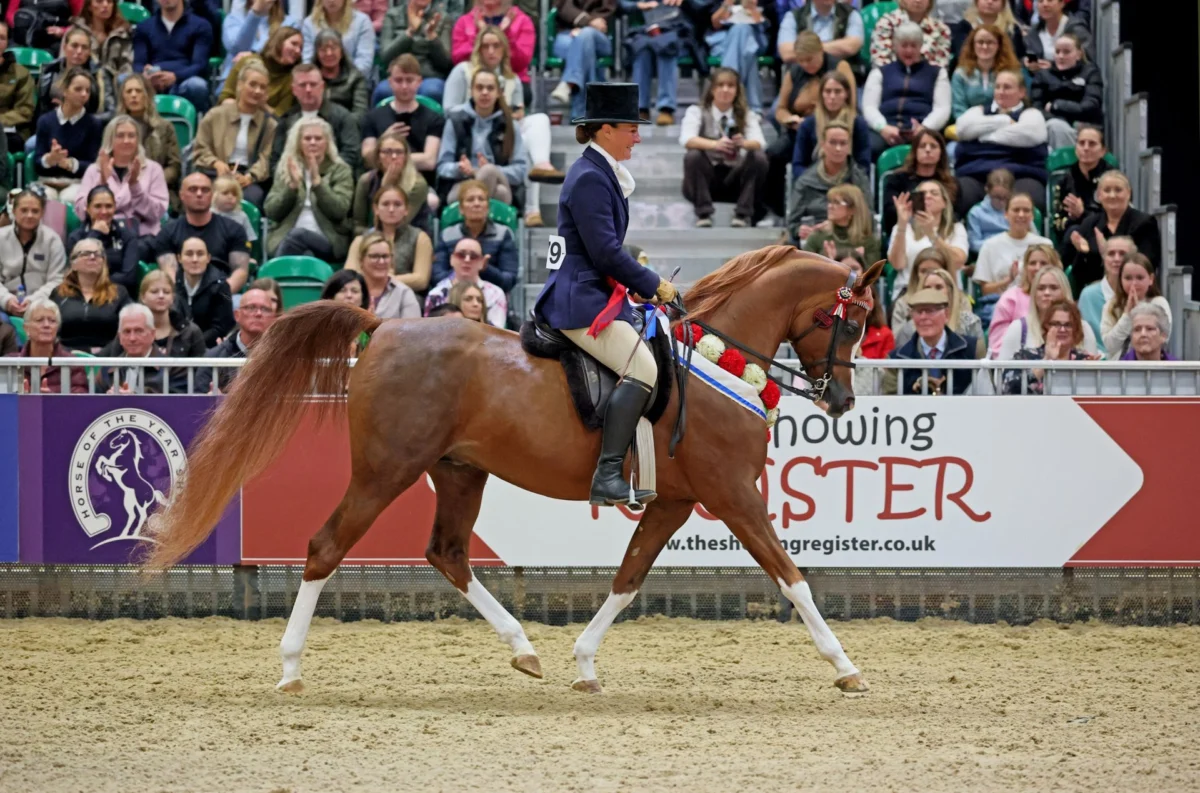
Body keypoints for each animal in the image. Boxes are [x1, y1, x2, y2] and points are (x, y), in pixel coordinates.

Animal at [142, 245, 884, 697]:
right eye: (852, 323)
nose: (843, 401)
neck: (720, 361)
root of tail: (383, 327)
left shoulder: (675, 501)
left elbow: (628, 578)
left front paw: (584, 663)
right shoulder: (733, 493)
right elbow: (793, 578)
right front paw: (846, 666)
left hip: (460, 471)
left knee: (446, 552)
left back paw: (524, 648)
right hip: (386, 470)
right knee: (326, 546)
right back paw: (291, 669)